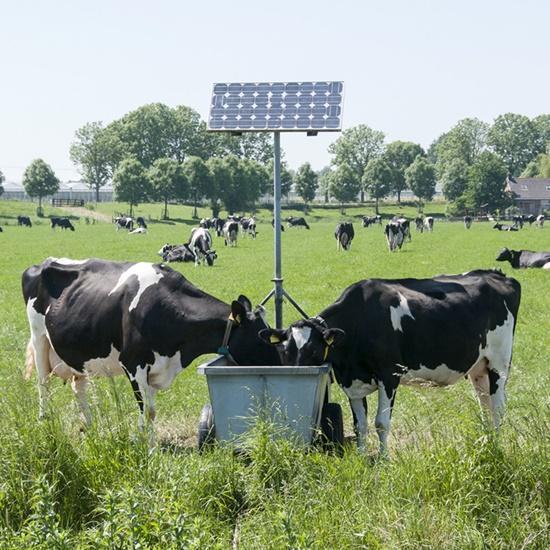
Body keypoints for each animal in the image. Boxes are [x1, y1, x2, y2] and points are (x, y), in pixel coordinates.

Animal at [22, 256, 280, 430]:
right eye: (261, 337)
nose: (280, 363)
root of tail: (40, 264)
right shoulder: (133, 364)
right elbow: (146, 414)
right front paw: (144, 451)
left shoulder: (157, 368)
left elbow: (153, 412)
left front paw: (151, 449)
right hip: (39, 338)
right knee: (43, 383)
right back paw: (45, 421)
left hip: (77, 353)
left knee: (79, 387)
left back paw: (90, 425)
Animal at [260, 272, 524, 458]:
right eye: (284, 351)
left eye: (314, 350)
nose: (297, 376)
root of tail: (498, 275)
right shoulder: (352, 382)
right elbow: (360, 425)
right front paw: (361, 457)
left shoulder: (389, 374)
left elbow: (381, 423)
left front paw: (384, 460)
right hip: (478, 367)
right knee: (485, 405)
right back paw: (486, 440)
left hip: (499, 362)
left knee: (498, 407)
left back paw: (496, 446)